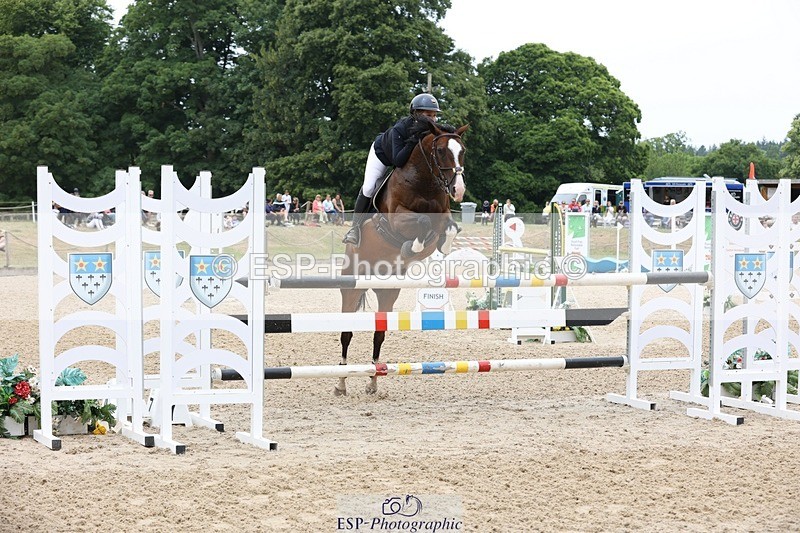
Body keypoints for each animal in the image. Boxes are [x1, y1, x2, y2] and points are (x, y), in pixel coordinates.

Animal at [336, 121, 468, 396]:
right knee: (346, 333)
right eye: (441, 151)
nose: (458, 189)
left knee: (379, 334)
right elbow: (422, 222)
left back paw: (373, 382)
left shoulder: (444, 213)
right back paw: (341, 383)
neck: (425, 182)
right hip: (351, 287)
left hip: (388, 292)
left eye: (463, 151)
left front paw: (442, 245)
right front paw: (412, 247)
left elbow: (447, 227)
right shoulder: (397, 218)